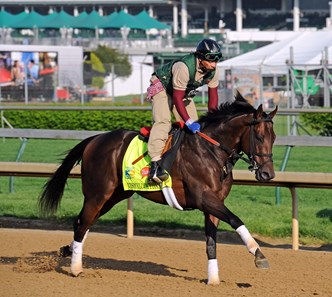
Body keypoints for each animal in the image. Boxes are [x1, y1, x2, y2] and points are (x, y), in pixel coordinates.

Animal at [39, 93, 278, 284]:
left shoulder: (213, 203)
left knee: (83, 222)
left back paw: (68, 250)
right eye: (259, 137)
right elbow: (236, 219)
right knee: (83, 224)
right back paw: (75, 268)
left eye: (274, 137)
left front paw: (213, 280)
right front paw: (258, 254)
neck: (211, 151)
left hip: (114, 196)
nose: (268, 174)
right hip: (97, 194)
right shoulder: (204, 197)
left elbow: (211, 241)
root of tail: (95, 139)